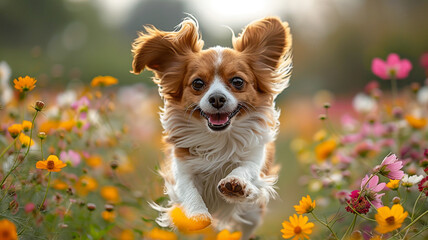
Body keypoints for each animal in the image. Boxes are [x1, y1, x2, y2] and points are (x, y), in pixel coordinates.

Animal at [130, 15, 290, 239]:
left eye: (238, 81)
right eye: (198, 83)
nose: (217, 98)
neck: (219, 138)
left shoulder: (256, 158)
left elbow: (245, 168)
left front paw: (236, 183)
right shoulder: (182, 168)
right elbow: (188, 189)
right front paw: (197, 214)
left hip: (252, 215)